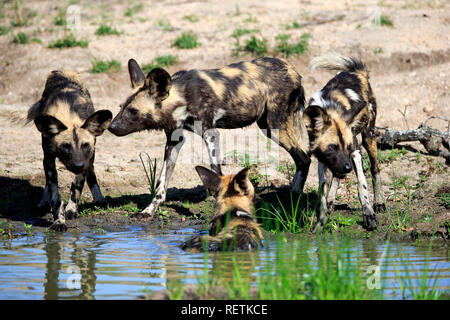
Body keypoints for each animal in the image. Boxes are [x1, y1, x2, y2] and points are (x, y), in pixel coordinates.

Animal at [28, 70, 112, 231]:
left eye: (85, 145)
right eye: (66, 146)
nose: (78, 165)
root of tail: (62, 70)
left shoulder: (87, 157)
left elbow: (77, 185)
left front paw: (71, 209)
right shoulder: (49, 159)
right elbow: (55, 195)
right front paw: (59, 221)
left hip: (90, 157)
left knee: (91, 172)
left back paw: (99, 199)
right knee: (48, 183)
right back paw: (43, 202)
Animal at [109, 57, 310, 220]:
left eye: (133, 111)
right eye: (121, 107)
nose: (111, 127)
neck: (182, 96)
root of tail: (292, 68)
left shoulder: (210, 133)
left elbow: (216, 170)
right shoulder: (173, 141)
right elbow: (161, 183)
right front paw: (148, 211)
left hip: (275, 128)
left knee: (304, 157)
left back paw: (295, 197)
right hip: (267, 126)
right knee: (303, 158)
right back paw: (292, 195)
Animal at [304, 53, 384, 231]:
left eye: (347, 146)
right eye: (331, 147)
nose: (348, 168)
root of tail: (356, 73)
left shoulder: (355, 152)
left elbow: (362, 185)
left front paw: (369, 216)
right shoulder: (323, 159)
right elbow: (322, 192)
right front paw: (320, 222)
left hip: (369, 138)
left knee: (375, 169)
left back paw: (379, 202)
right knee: (337, 177)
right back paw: (330, 203)